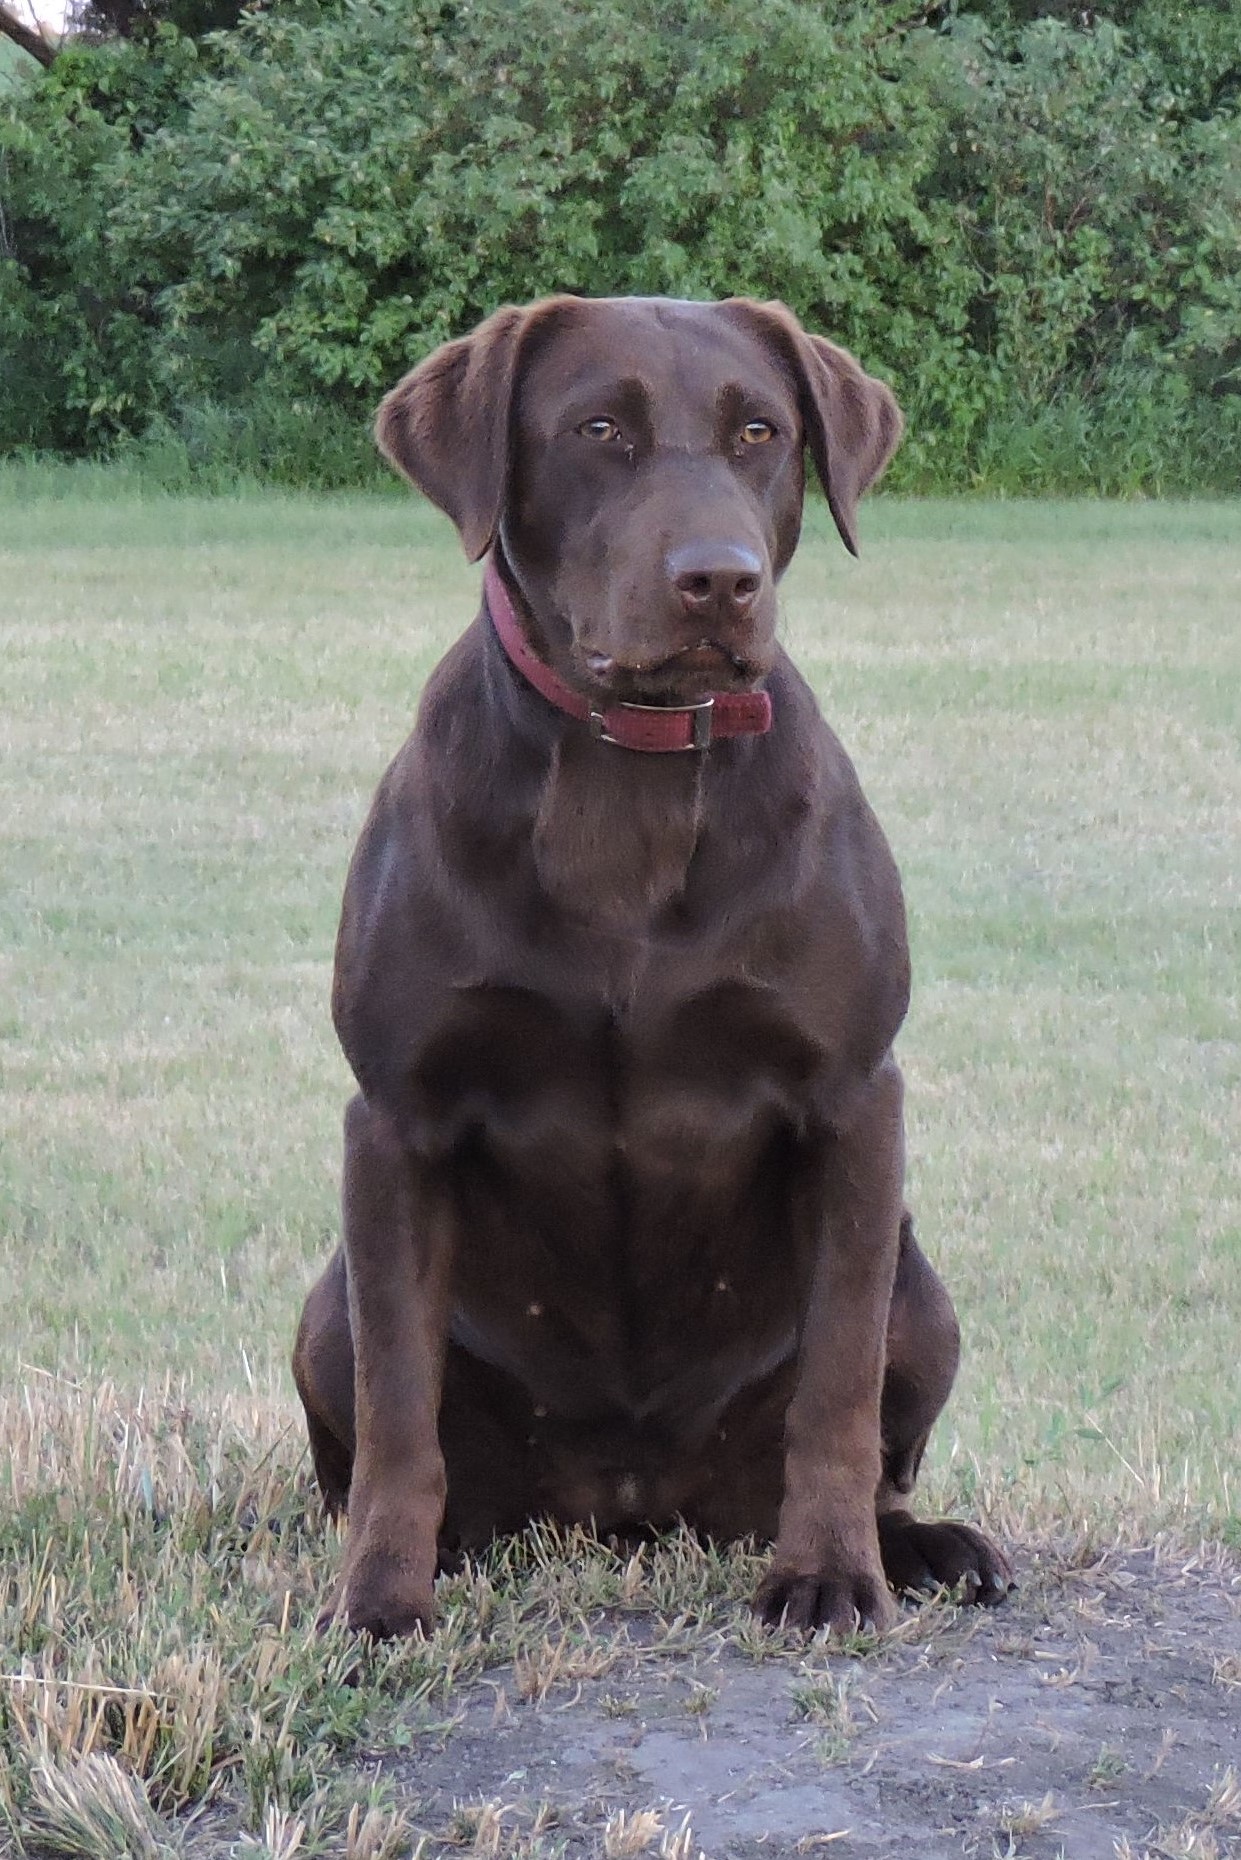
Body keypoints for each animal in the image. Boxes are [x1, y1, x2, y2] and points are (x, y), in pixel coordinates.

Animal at [295, 293, 1012, 1644]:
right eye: (598, 431)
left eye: (759, 432)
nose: (718, 578)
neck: (625, 776)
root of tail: (631, 1505)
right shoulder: (397, 1117)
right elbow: (400, 1408)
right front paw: (380, 1599)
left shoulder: (853, 1100)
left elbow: (835, 1390)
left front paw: (829, 1573)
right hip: (324, 1309)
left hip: (922, 1291)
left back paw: (919, 1544)